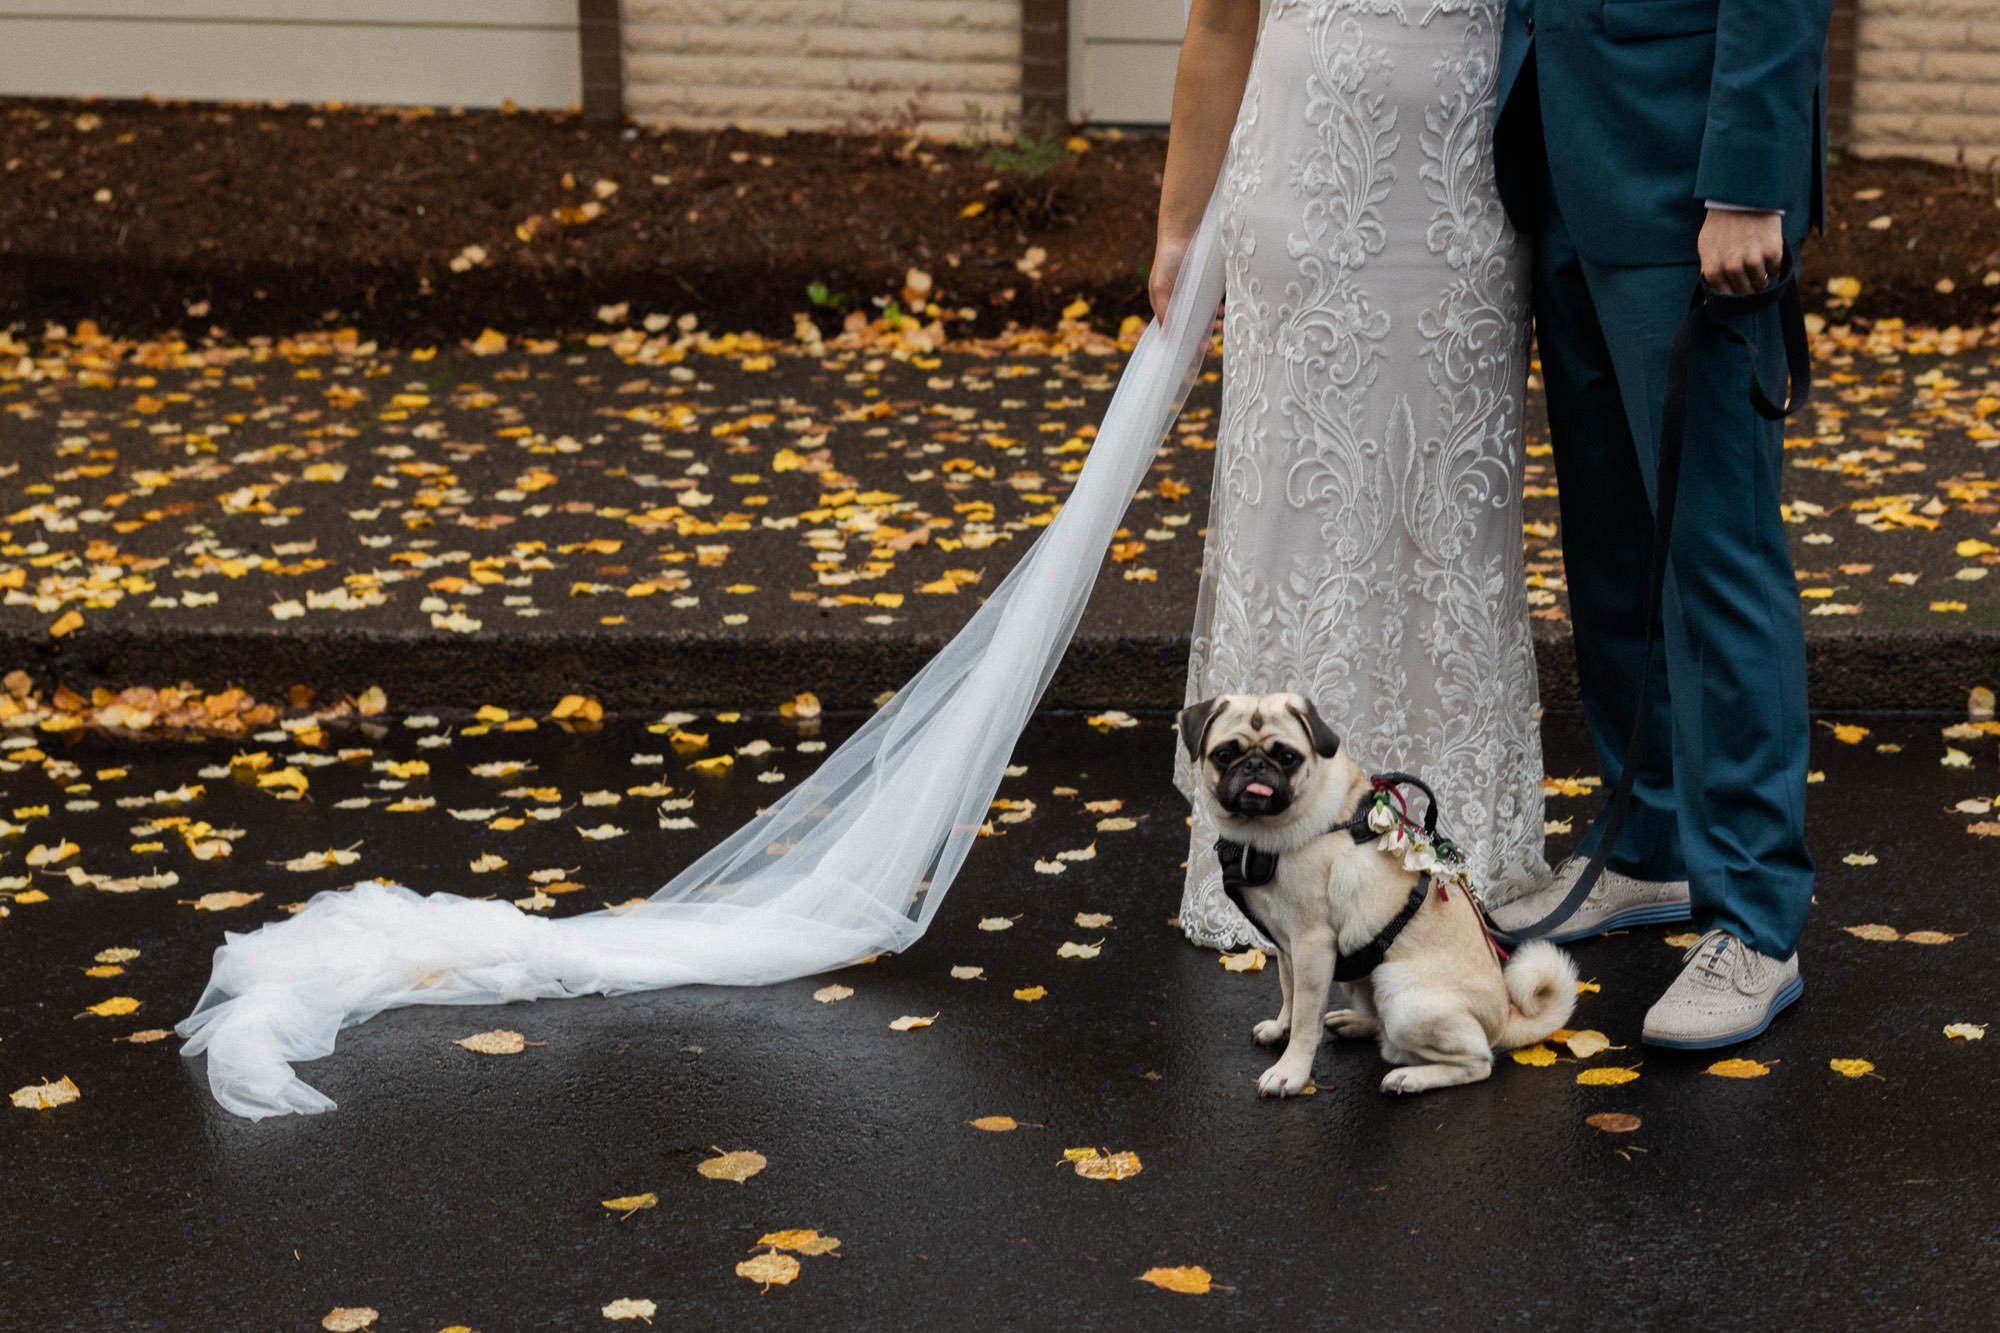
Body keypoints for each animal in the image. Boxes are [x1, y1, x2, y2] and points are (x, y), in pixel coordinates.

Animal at [1168, 688, 1576, 1096]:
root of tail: (1505, 1018)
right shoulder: (1286, 944)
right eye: (1224, 754)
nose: (1254, 765)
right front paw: (1280, 1029)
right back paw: (1355, 1023)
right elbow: (1289, 991)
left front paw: (1291, 1070)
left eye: (1287, 757)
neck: (1261, 833)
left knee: (1476, 1062)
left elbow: (1305, 1017)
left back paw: (1411, 1077)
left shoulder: (1311, 945)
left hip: (1401, 993)